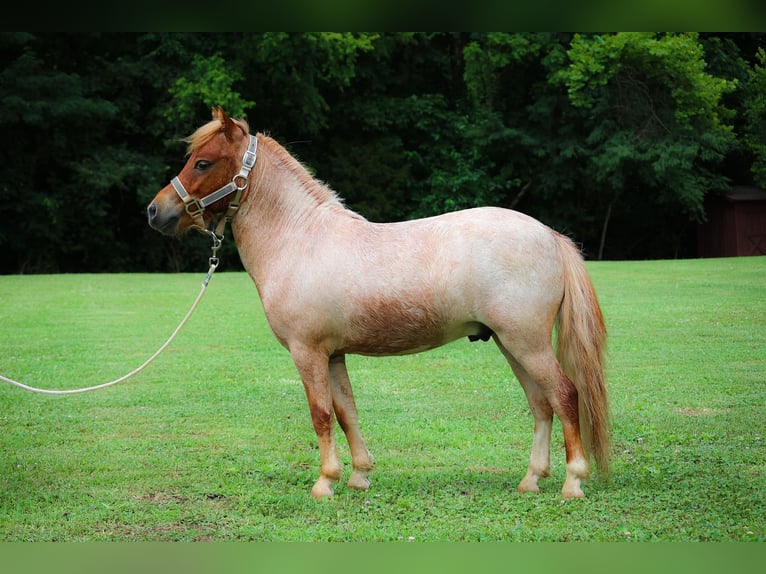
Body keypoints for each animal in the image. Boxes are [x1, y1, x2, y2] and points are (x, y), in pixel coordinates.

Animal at [147, 107, 608, 500]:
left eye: (203, 162)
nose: (155, 211)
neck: (299, 237)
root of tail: (550, 236)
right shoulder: (333, 355)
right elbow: (346, 411)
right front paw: (358, 476)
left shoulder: (307, 352)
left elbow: (320, 414)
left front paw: (324, 483)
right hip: (511, 344)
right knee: (541, 404)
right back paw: (531, 480)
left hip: (527, 343)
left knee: (564, 396)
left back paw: (572, 482)